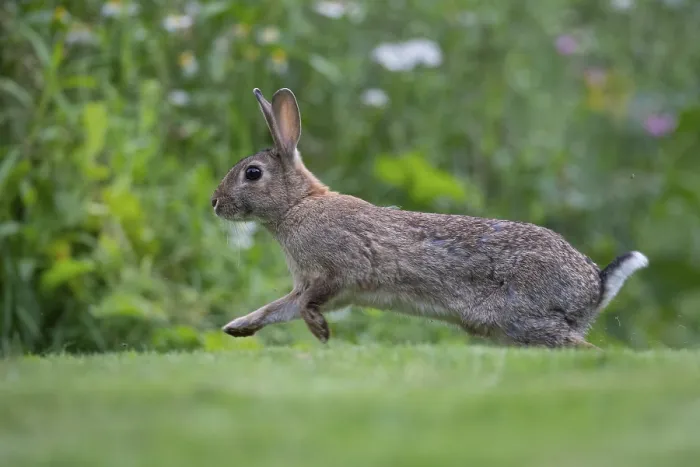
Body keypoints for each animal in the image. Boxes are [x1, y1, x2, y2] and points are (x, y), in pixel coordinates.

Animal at [211, 87, 649, 349]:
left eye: (252, 173)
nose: (215, 202)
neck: (297, 205)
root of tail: (595, 285)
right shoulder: (314, 287)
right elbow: (277, 308)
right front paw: (237, 327)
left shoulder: (338, 271)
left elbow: (305, 305)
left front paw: (320, 333)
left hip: (520, 316)